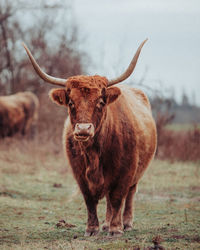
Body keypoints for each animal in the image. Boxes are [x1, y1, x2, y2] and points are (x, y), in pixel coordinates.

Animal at [23, 39, 157, 236]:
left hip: (137, 173)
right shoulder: (79, 173)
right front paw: (92, 229)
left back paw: (126, 223)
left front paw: (116, 229)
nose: (83, 129)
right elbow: (90, 200)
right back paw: (106, 224)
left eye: (100, 102)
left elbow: (118, 197)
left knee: (129, 195)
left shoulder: (126, 170)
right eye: (71, 102)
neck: (95, 152)